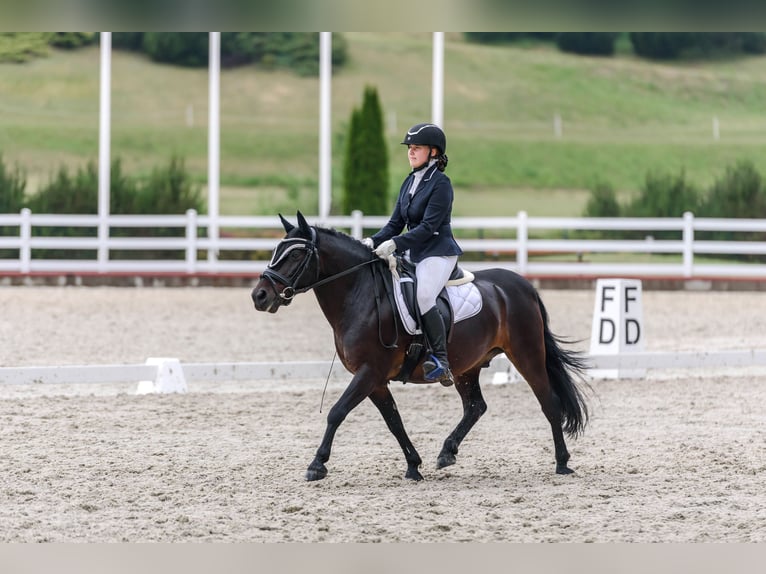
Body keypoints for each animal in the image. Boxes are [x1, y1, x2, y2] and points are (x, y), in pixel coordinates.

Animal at [252, 212, 592, 482]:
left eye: (296, 255)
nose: (259, 296)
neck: (359, 295)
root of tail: (523, 286)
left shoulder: (369, 372)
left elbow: (337, 412)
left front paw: (317, 464)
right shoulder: (375, 380)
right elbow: (394, 422)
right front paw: (414, 466)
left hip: (527, 354)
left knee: (549, 403)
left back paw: (562, 463)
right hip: (466, 366)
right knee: (475, 407)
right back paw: (447, 452)